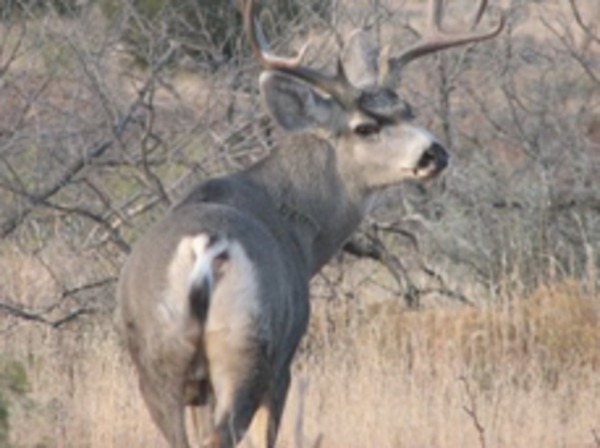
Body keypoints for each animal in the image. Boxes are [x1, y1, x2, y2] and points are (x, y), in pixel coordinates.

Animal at [115, 0, 504, 446]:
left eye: (408, 110)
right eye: (365, 127)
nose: (434, 153)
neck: (301, 236)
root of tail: (206, 246)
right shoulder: (286, 359)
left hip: (158, 360)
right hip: (252, 350)